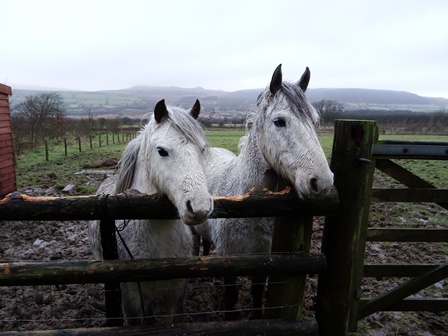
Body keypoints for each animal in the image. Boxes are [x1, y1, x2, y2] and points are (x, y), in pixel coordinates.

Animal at [196, 64, 332, 318]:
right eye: (279, 121)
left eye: (315, 121)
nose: (322, 182)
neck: (250, 210)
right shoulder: (229, 259)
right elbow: (231, 295)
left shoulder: (263, 260)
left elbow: (258, 291)